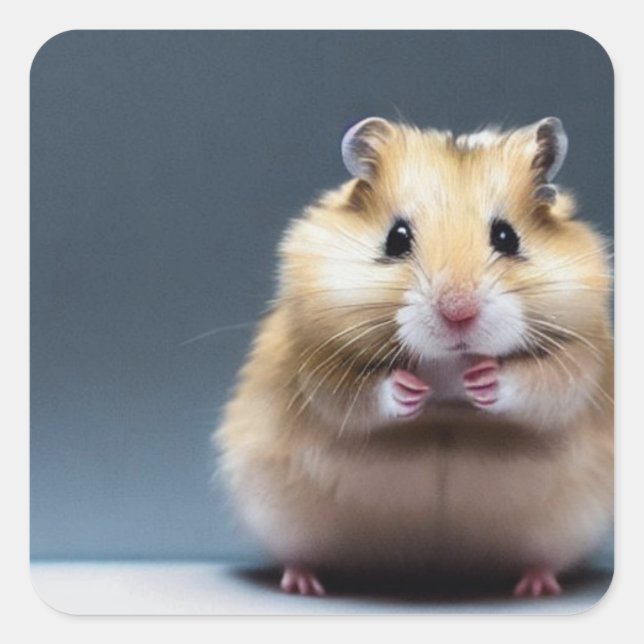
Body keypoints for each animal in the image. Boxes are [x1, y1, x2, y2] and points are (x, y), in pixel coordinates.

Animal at [214, 117, 613, 598]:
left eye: (507, 236)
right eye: (396, 238)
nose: (458, 312)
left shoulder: (581, 351)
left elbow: (551, 382)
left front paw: (483, 380)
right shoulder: (314, 354)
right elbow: (346, 392)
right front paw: (409, 389)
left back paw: (537, 585)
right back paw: (302, 583)